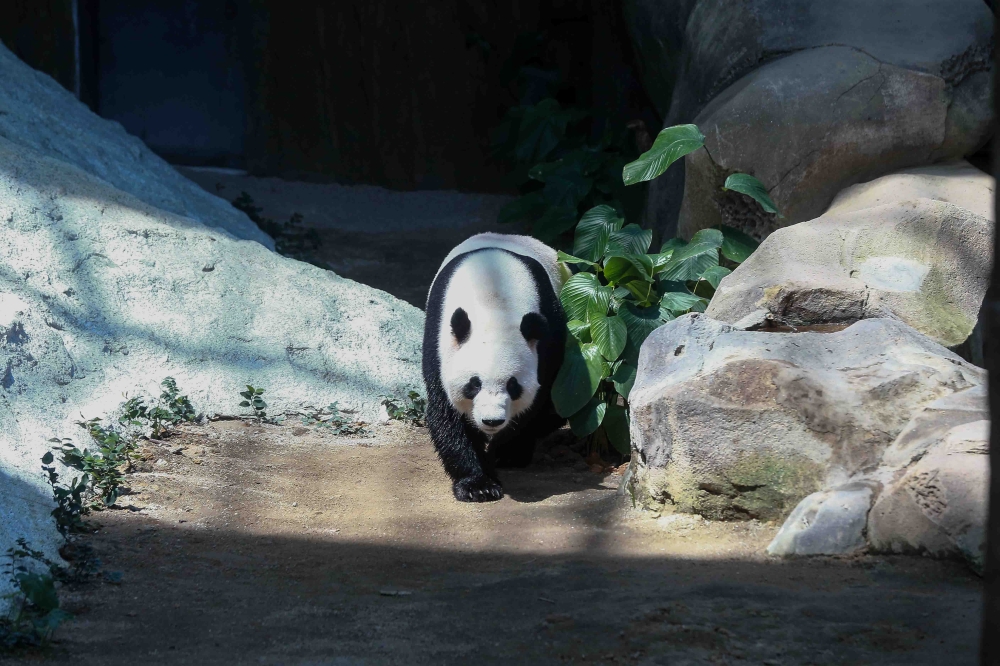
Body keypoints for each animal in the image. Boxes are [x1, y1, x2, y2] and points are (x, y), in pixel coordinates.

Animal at [423, 233, 569, 502]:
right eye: (473, 384)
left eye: (513, 386)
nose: (491, 421)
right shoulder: (439, 338)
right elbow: (446, 411)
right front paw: (478, 485)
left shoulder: (549, 333)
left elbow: (537, 401)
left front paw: (505, 451)